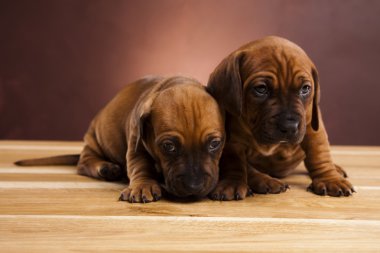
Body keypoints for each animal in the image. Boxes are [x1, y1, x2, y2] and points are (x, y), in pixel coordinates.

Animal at [15, 76, 226, 203]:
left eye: (214, 144)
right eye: (168, 146)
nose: (194, 186)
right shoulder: (135, 145)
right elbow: (141, 165)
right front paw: (142, 186)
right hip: (94, 138)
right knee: (84, 163)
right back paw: (106, 168)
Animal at [206, 36, 354, 201]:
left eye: (305, 89)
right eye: (261, 89)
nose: (290, 127)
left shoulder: (312, 126)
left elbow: (319, 153)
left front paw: (330, 178)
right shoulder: (233, 143)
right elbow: (236, 164)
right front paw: (233, 182)